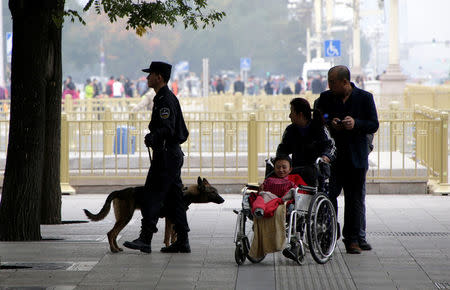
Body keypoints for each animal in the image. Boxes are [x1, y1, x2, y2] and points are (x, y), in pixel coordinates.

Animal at [83, 176, 224, 253]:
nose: (223, 200)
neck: (185, 194)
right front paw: (168, 248)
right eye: (213, 192)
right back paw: (114, 249)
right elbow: (168, 237)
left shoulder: (173, 220)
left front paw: (174, 247)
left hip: (123, 218)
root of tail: (119, 191)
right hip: (125, 217)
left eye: (216, 191)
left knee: (113, 234)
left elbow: (173, 236)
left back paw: (116, 248)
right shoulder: (170, 219)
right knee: (111, 233)